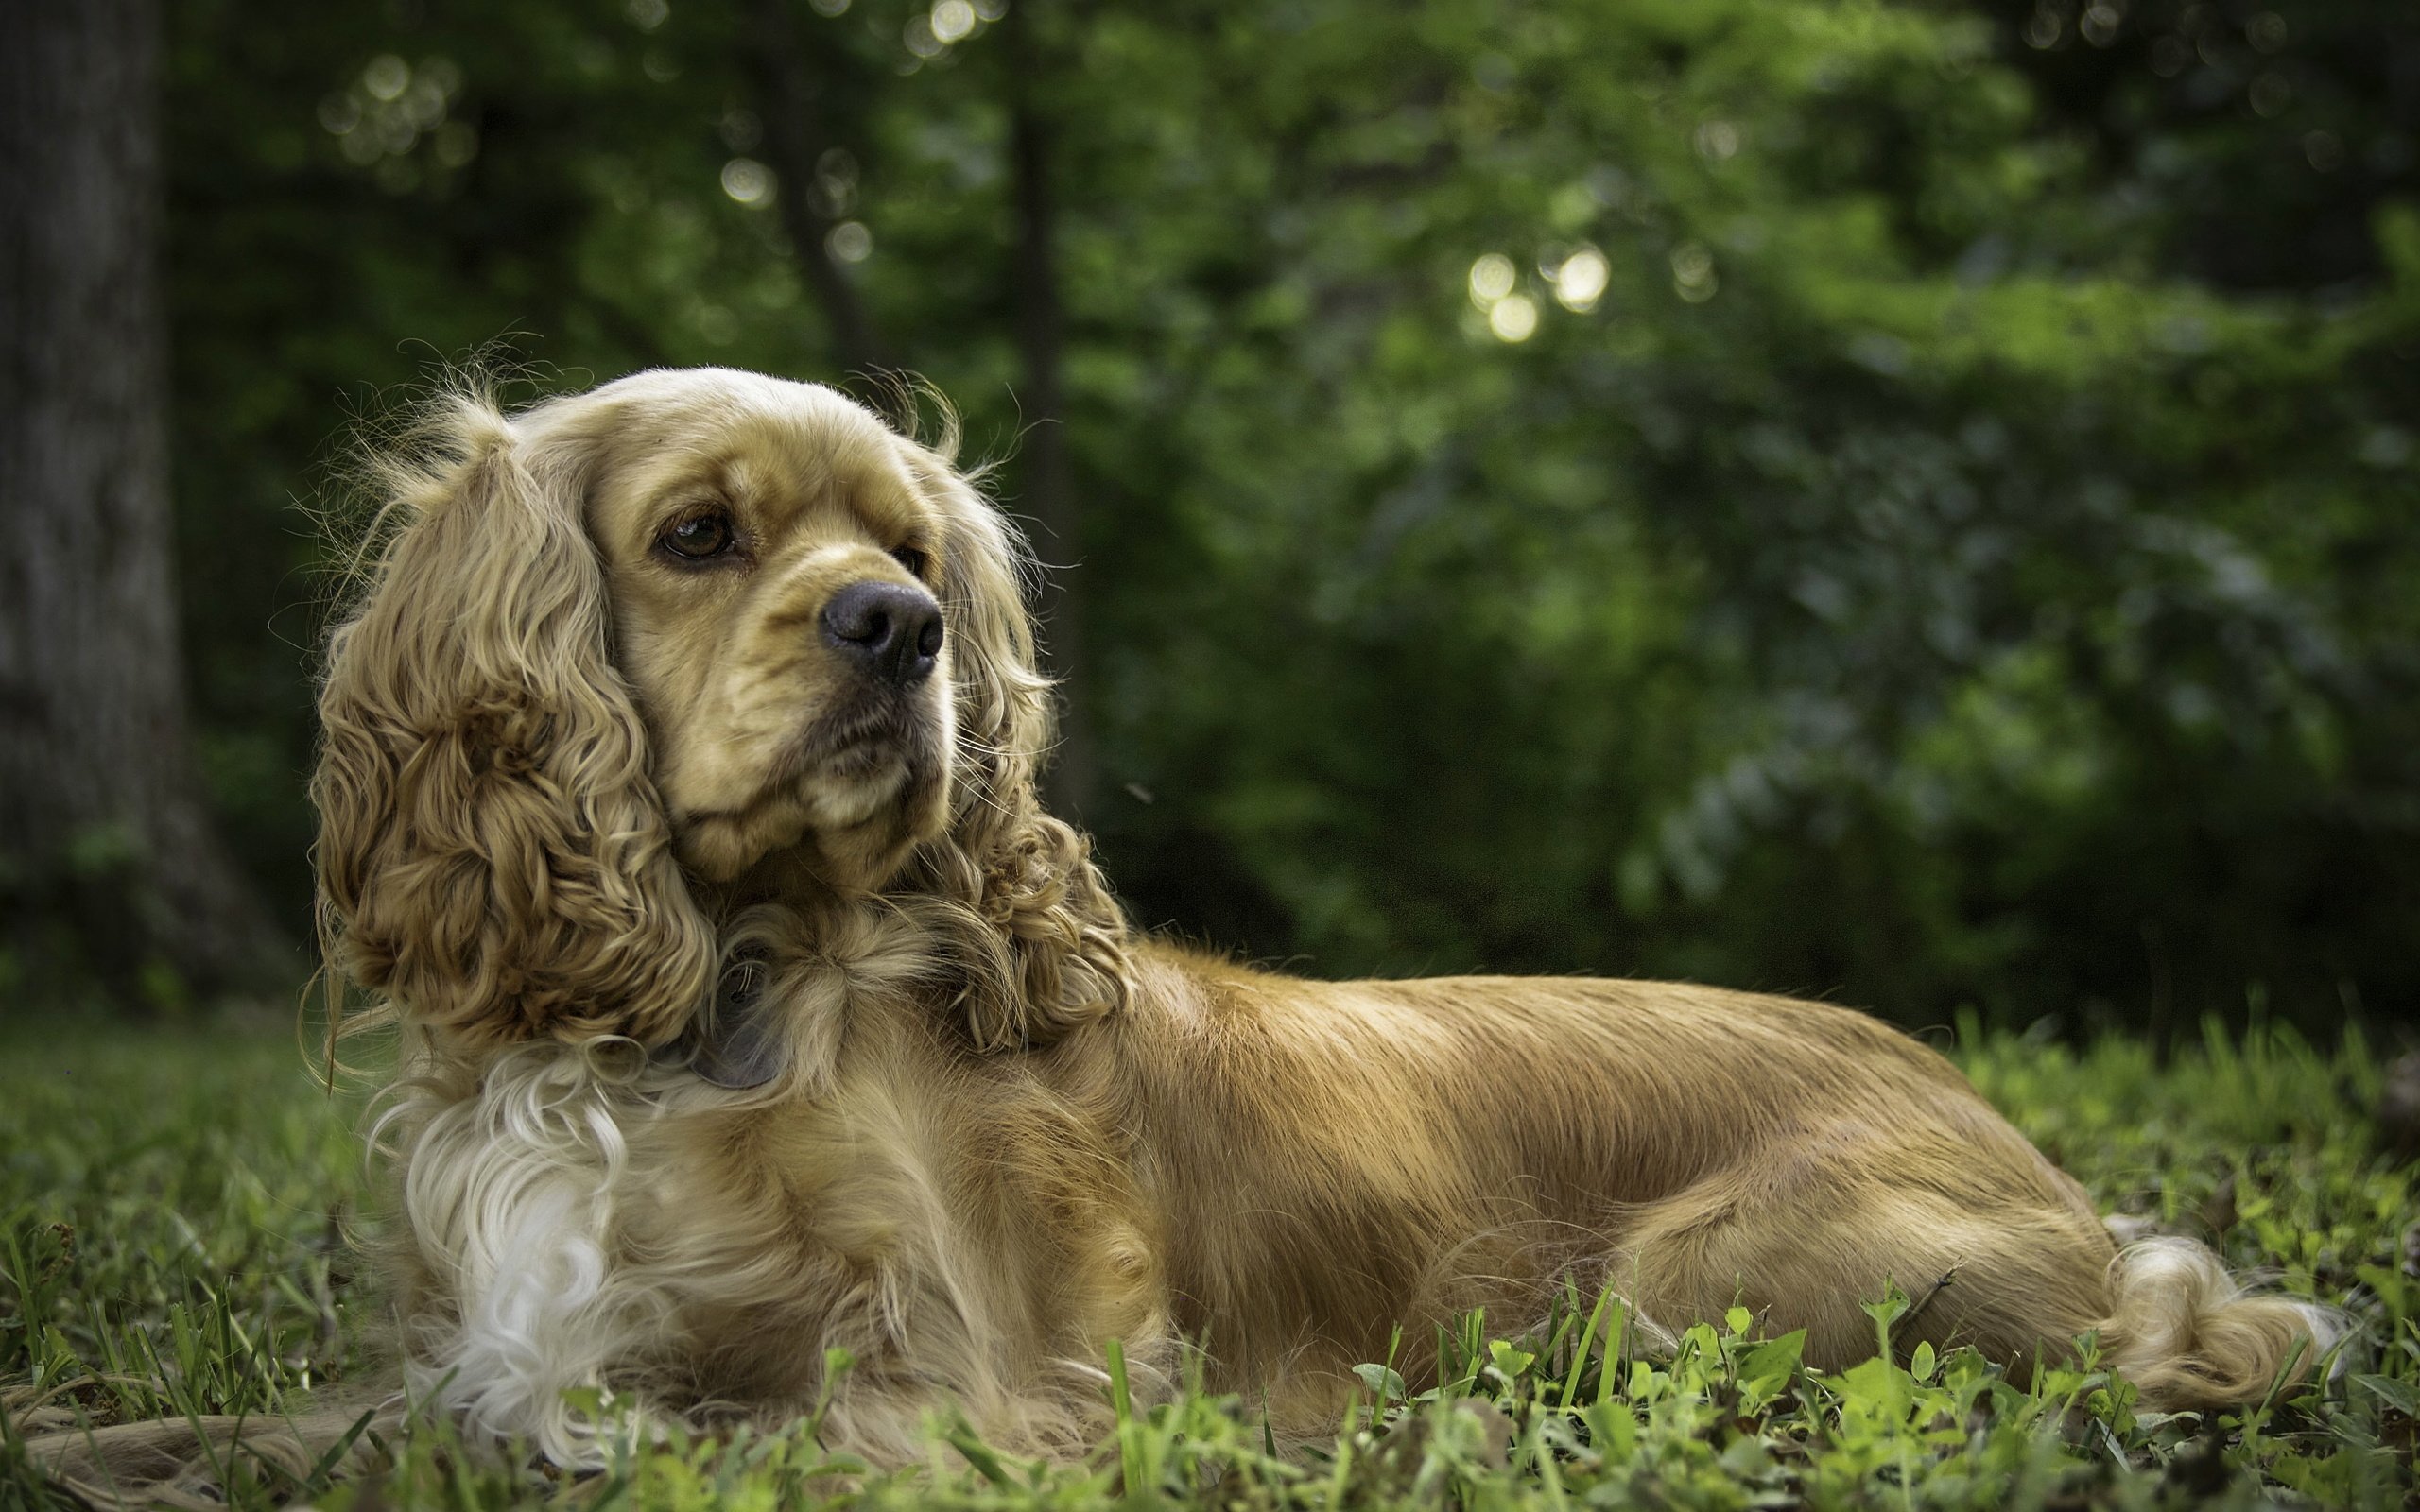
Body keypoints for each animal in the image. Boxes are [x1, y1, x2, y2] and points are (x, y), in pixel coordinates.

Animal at [297, 365, 2323, 1461]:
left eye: (918, 549)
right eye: (699, 536)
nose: (902, 626)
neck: (700, 1017)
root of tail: (2033, 1150)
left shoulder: (999, 1391)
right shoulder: (485, 1349)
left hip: (1699, 1282)